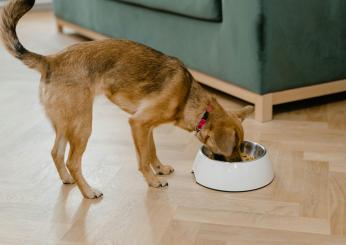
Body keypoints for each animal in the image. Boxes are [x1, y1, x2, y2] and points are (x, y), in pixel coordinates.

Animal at [1, 0, 253, 198]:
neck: (191, 100)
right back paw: (88, 192)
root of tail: (50, 60)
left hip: (66, 123)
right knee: (73, 161)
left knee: (56, 153)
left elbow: (151, 151)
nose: (240, 162)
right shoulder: (138, 123)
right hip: (83, 125)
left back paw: (67, 180)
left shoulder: (146, 127)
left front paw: (159, 168)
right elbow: (143, 159)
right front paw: (153, 181)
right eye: (235, 146)